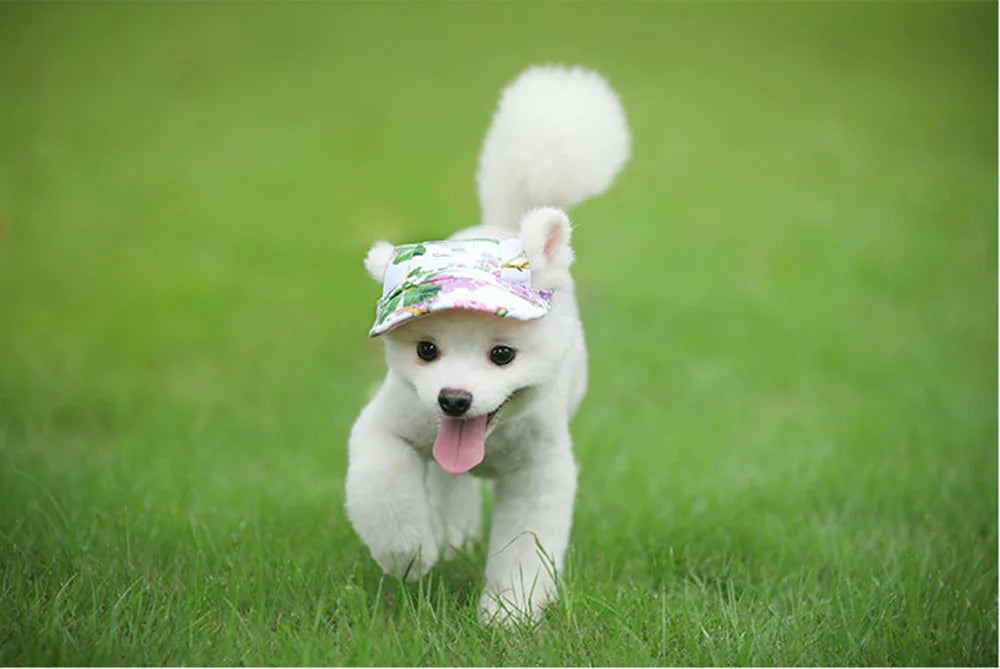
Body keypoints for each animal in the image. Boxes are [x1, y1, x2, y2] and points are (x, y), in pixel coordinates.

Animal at [344, 64, 624, 620]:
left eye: (503, 355)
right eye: (425, 350)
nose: (454, 399)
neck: (490, 442)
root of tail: (504, 223)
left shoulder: (540, 471)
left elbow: (524, 548)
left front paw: (509, 614)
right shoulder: (388, 426)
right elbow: (382, 487)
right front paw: (410, 554)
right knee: (448, 484)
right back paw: (452, 538)